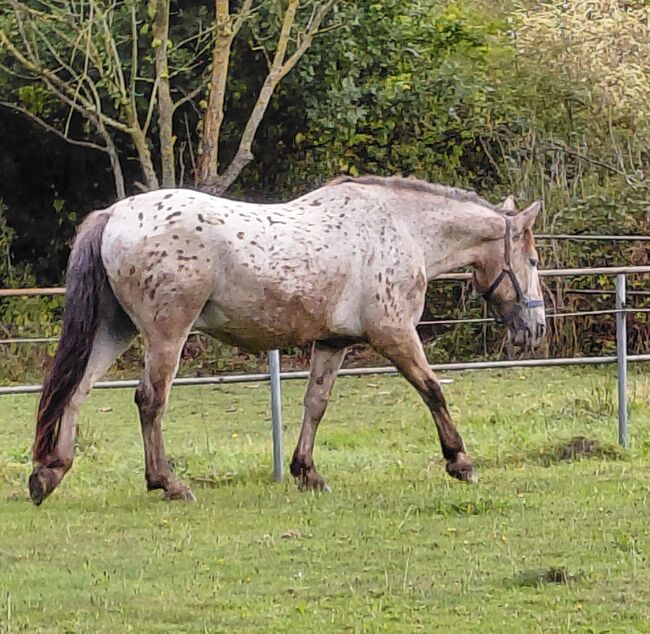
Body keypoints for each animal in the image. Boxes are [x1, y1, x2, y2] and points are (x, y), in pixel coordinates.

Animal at [29, 175, 546, 505]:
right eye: (534, 260)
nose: (536, 329)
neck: (402, 228)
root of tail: (114, 214)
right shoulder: (395, 334)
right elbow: (433, 390)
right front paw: (460, 462)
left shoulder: (334, 343)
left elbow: (315, 404)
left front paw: (306, 472)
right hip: (165, 334)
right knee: (149, 400)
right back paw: (168, 484)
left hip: (115, 330)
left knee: (77, 391)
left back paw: (49, 473)